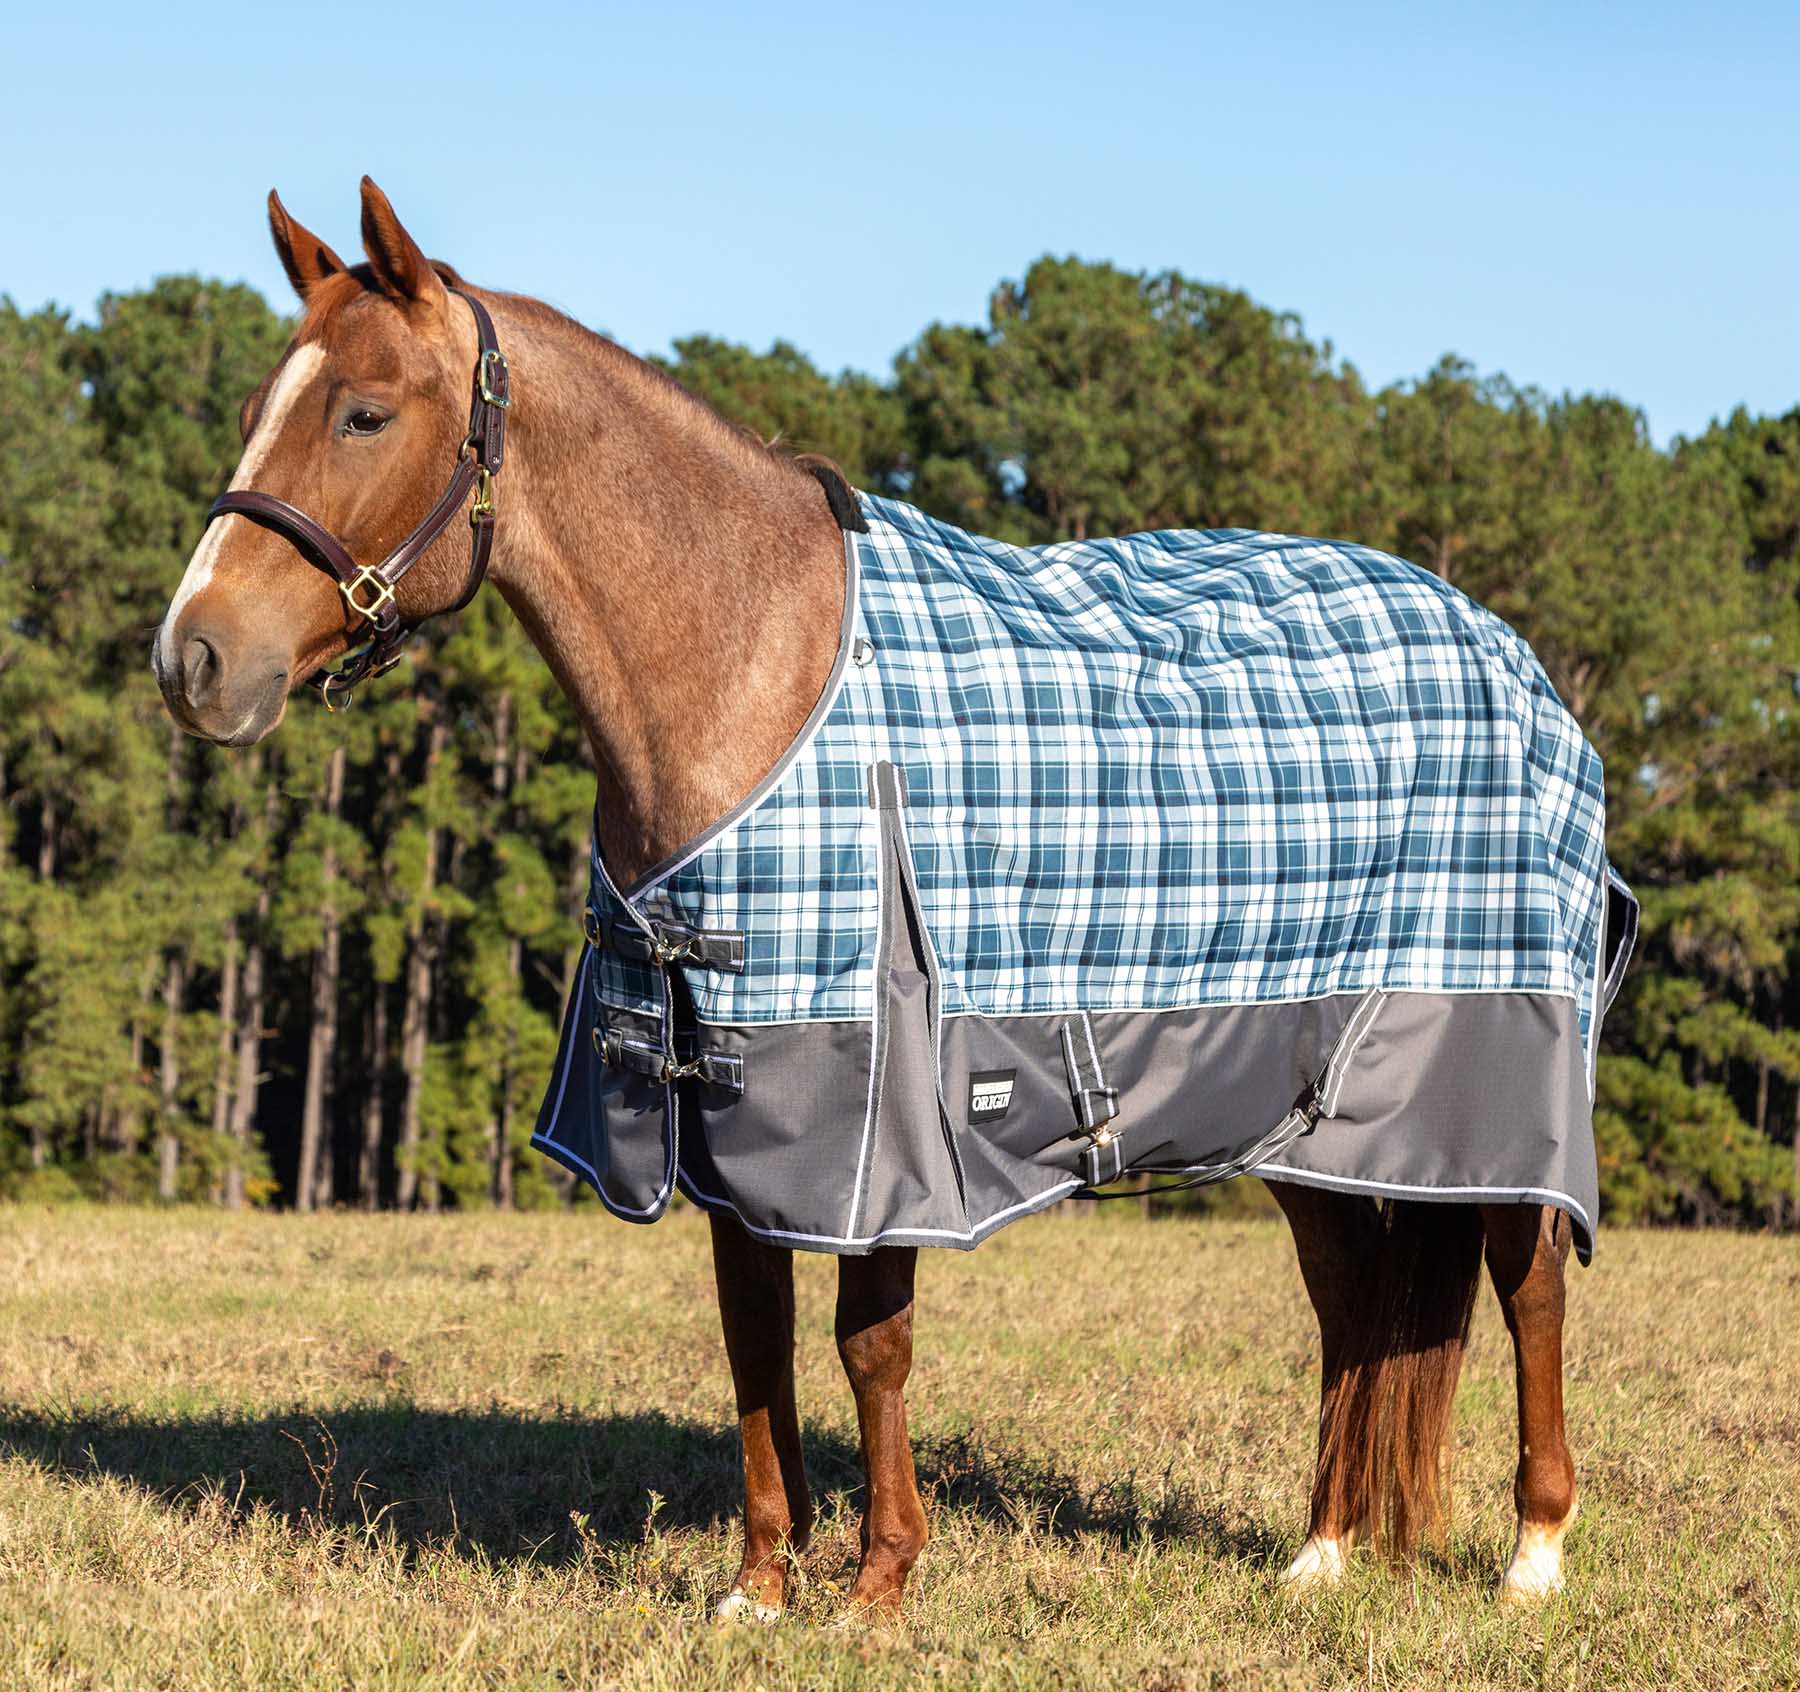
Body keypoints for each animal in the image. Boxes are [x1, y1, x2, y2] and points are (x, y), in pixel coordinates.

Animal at [155, 178, 1594, 1617]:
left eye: (363, 412)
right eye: (254, 408)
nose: (192, 660)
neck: (754, 662)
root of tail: (1507, 650)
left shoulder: (882, 1104)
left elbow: (869, 1341)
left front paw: (880, 1583)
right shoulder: (720, 1090)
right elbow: (755, 1340)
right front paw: (760, 1584)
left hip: (1493, 1059)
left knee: (1525, 1280)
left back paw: (1532, 1552)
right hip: (1300, 1097)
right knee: (1352, 1295)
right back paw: (1323, 1552)